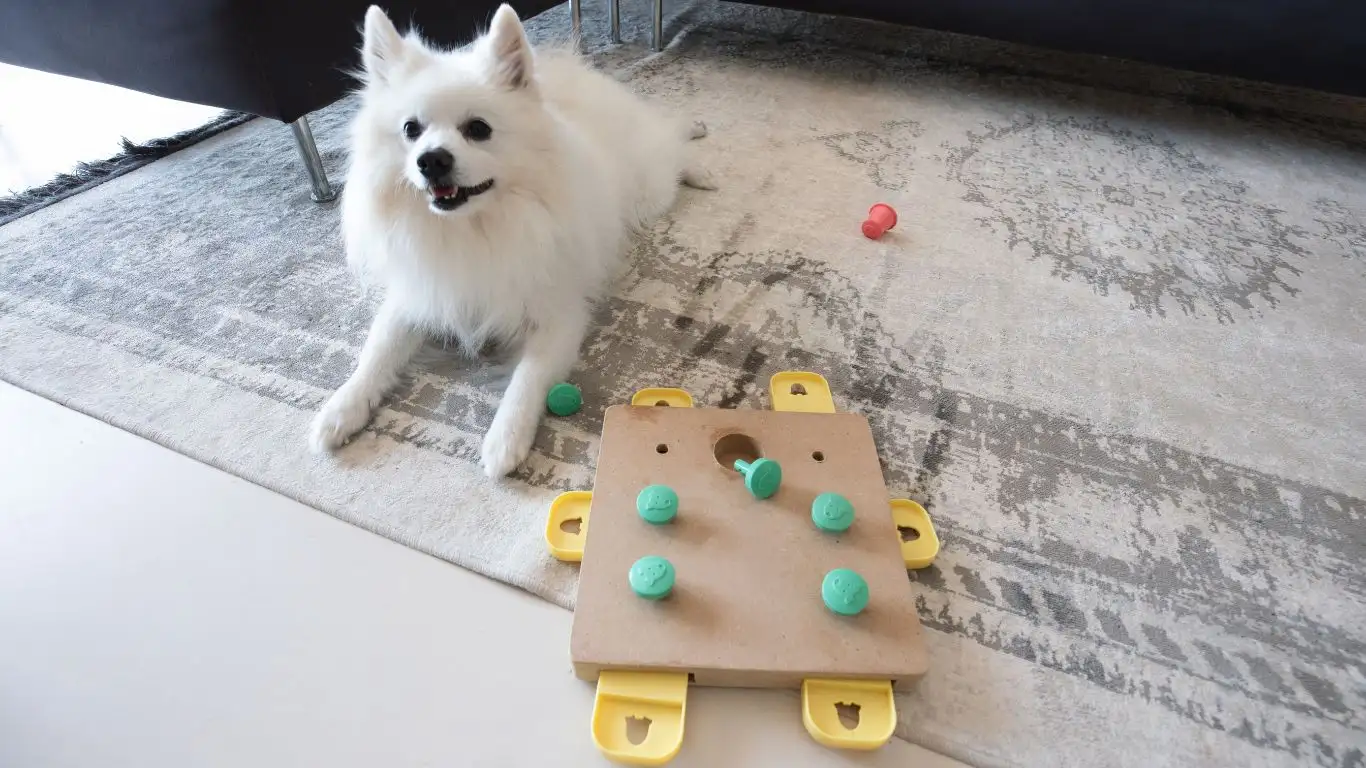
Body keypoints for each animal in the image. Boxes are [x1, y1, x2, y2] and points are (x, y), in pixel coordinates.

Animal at [310, 4, 715, 472]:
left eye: (478, 129)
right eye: (411, 129)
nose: (431, 160)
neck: (474, 227)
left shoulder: (559, 315)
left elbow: (528, 377)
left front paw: (506, 439)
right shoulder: (423, 293)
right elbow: (376, 351)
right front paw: (341, 407)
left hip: (650, 193)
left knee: (670, 148)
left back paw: (696, 153)